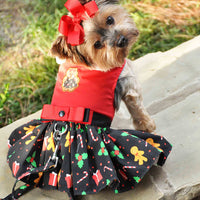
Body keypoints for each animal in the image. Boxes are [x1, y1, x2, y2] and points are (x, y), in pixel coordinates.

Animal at [50, 0, 156, 133]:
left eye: (110, 19)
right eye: (97, 44)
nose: (121, 40)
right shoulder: (128, 84)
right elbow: (137, 109)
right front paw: (148, 126)